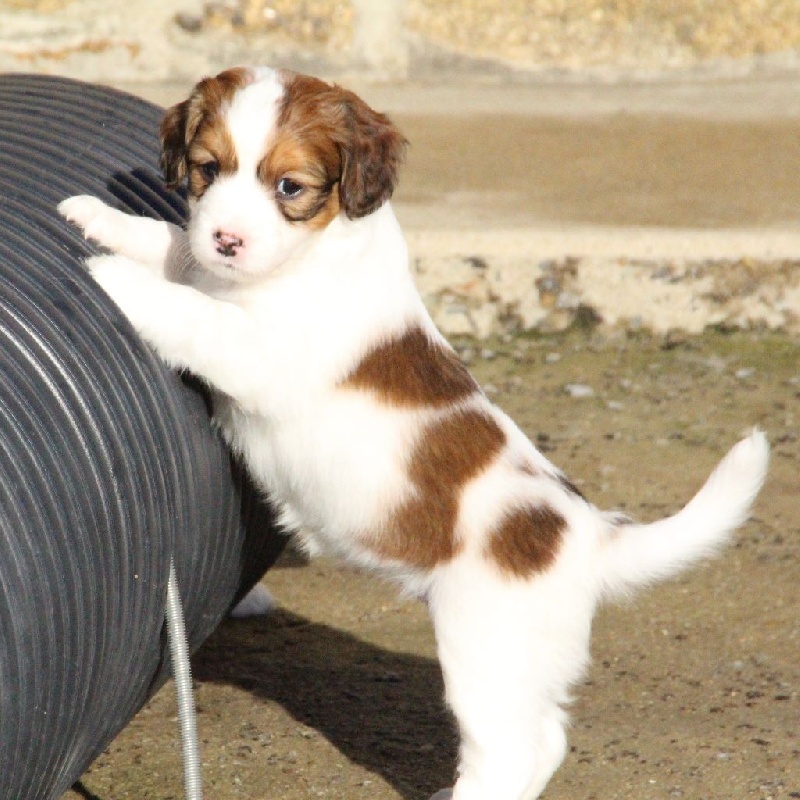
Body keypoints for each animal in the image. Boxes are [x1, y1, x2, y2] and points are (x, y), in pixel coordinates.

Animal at [59, 66, 769, 800]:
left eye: (289, 187)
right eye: (207, 169)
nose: (228, 239)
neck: (315, 248)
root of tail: (590, 536)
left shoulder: (257, 348)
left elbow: (188, 308)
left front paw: (106, 274)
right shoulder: (210, 270)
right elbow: (175, 247)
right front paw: (97, 217)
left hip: (488, 654)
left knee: (518, 751)